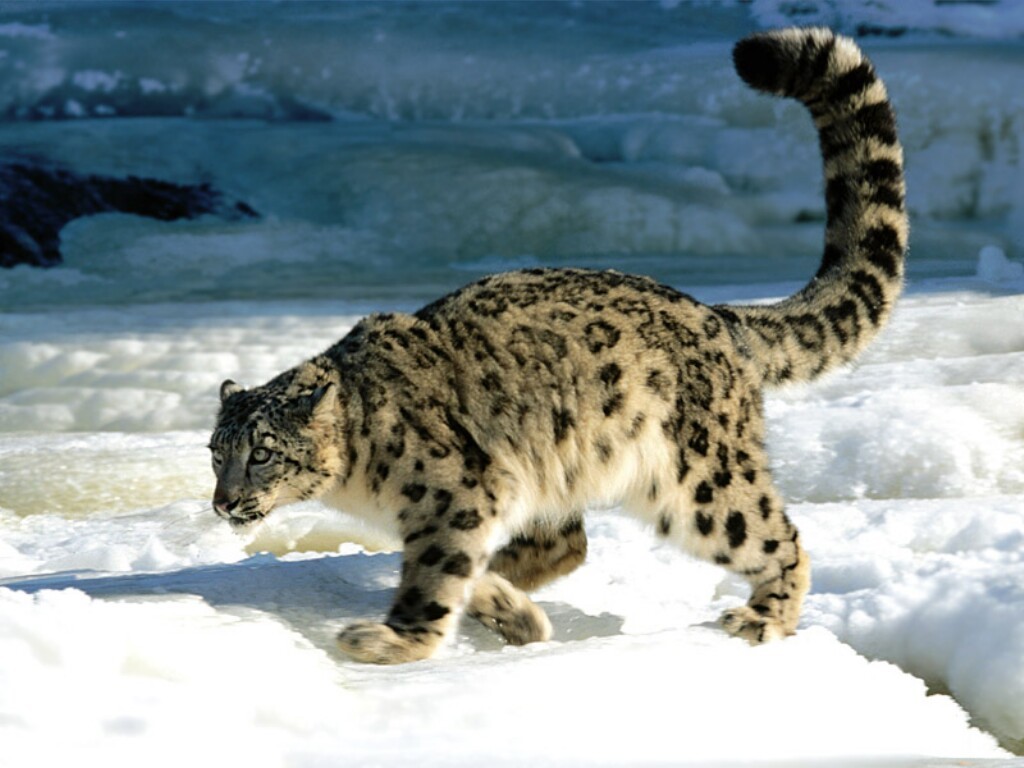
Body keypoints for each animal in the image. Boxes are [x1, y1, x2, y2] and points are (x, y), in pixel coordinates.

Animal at [208, 27, 908, 664]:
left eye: (263, 453)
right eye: (217, 454)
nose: (225, 502)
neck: (359, 480)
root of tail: (715, 315)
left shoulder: (456, 496)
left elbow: (435, 576)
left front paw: (391, 642)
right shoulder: (474, 506)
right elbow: (456, 566)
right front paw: (509, 612)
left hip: (702, 482)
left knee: (775, 535)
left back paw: (763, 619)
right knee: (567, 543)